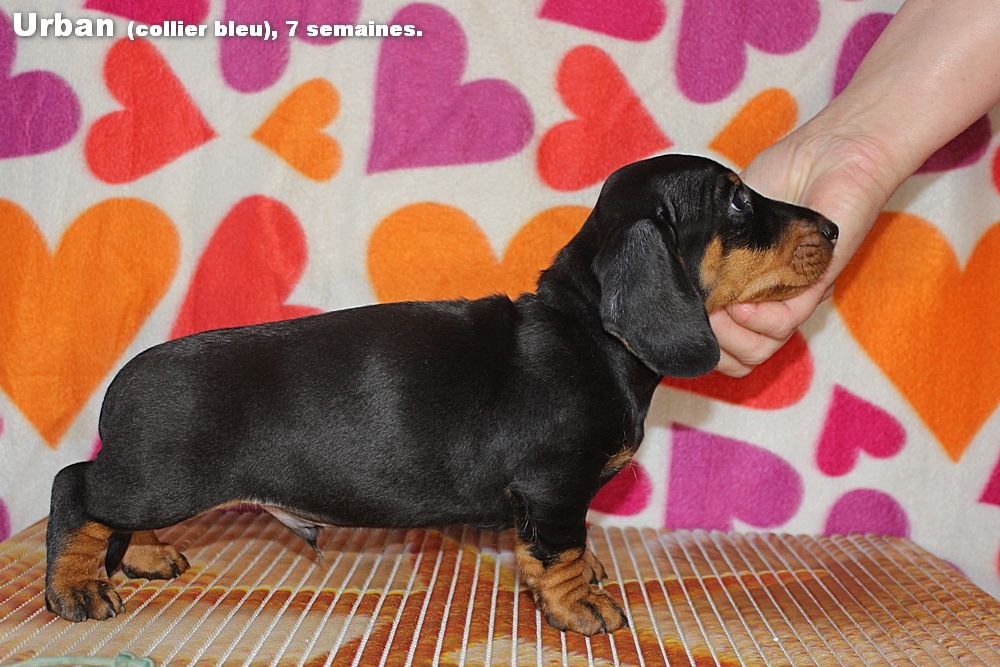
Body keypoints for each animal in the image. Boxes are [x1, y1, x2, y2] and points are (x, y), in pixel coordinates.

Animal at [44, 154, 837, 635]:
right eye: (738, 200)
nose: (832, 226)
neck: (590, 333)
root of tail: (125, 380)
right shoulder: (554, 488)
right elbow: (563, 552)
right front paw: (582, 604)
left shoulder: (541, 502)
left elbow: (543, 552)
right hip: (161, 479)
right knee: (77, 486)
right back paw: (77, 587)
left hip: (156, 483)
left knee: (109, 508)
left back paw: (145, 556)